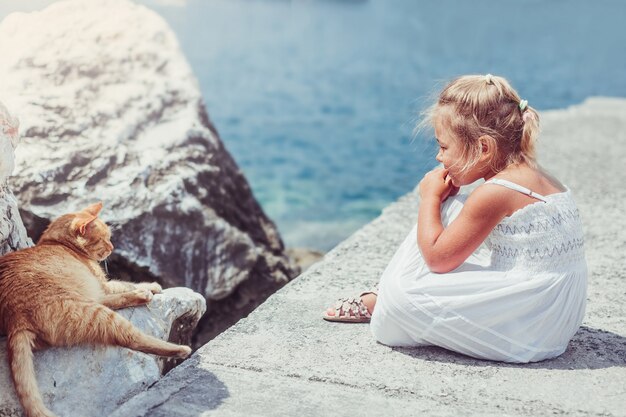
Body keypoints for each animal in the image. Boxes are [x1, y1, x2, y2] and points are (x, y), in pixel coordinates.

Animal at [0, 202, 190, 416]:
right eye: (103, 239)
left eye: (110, 237)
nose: (112, 247)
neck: (57, 243)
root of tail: (15, 318)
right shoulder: (103, 284)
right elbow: (124, 283)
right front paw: (150, 285)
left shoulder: (100, 288)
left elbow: (121, 286)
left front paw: (150, 287)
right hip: (93, 312)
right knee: (132, 337)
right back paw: (177, 345)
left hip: (90, 302)